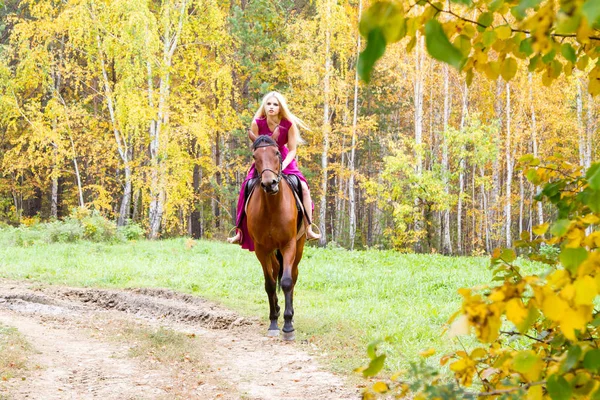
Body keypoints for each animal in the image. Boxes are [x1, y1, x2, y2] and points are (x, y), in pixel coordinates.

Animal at [246, 135, 308, 340]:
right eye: (254, 156)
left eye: (277, 153)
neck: (272, 207)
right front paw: (273, 322)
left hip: (298, 247)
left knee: (293, 276)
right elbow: (270, 284)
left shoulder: (288, 245)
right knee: (274, 270)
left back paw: (291, 316)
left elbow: (287, 282)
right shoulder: (261, 249)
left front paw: (288, 326)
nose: (269, 183)